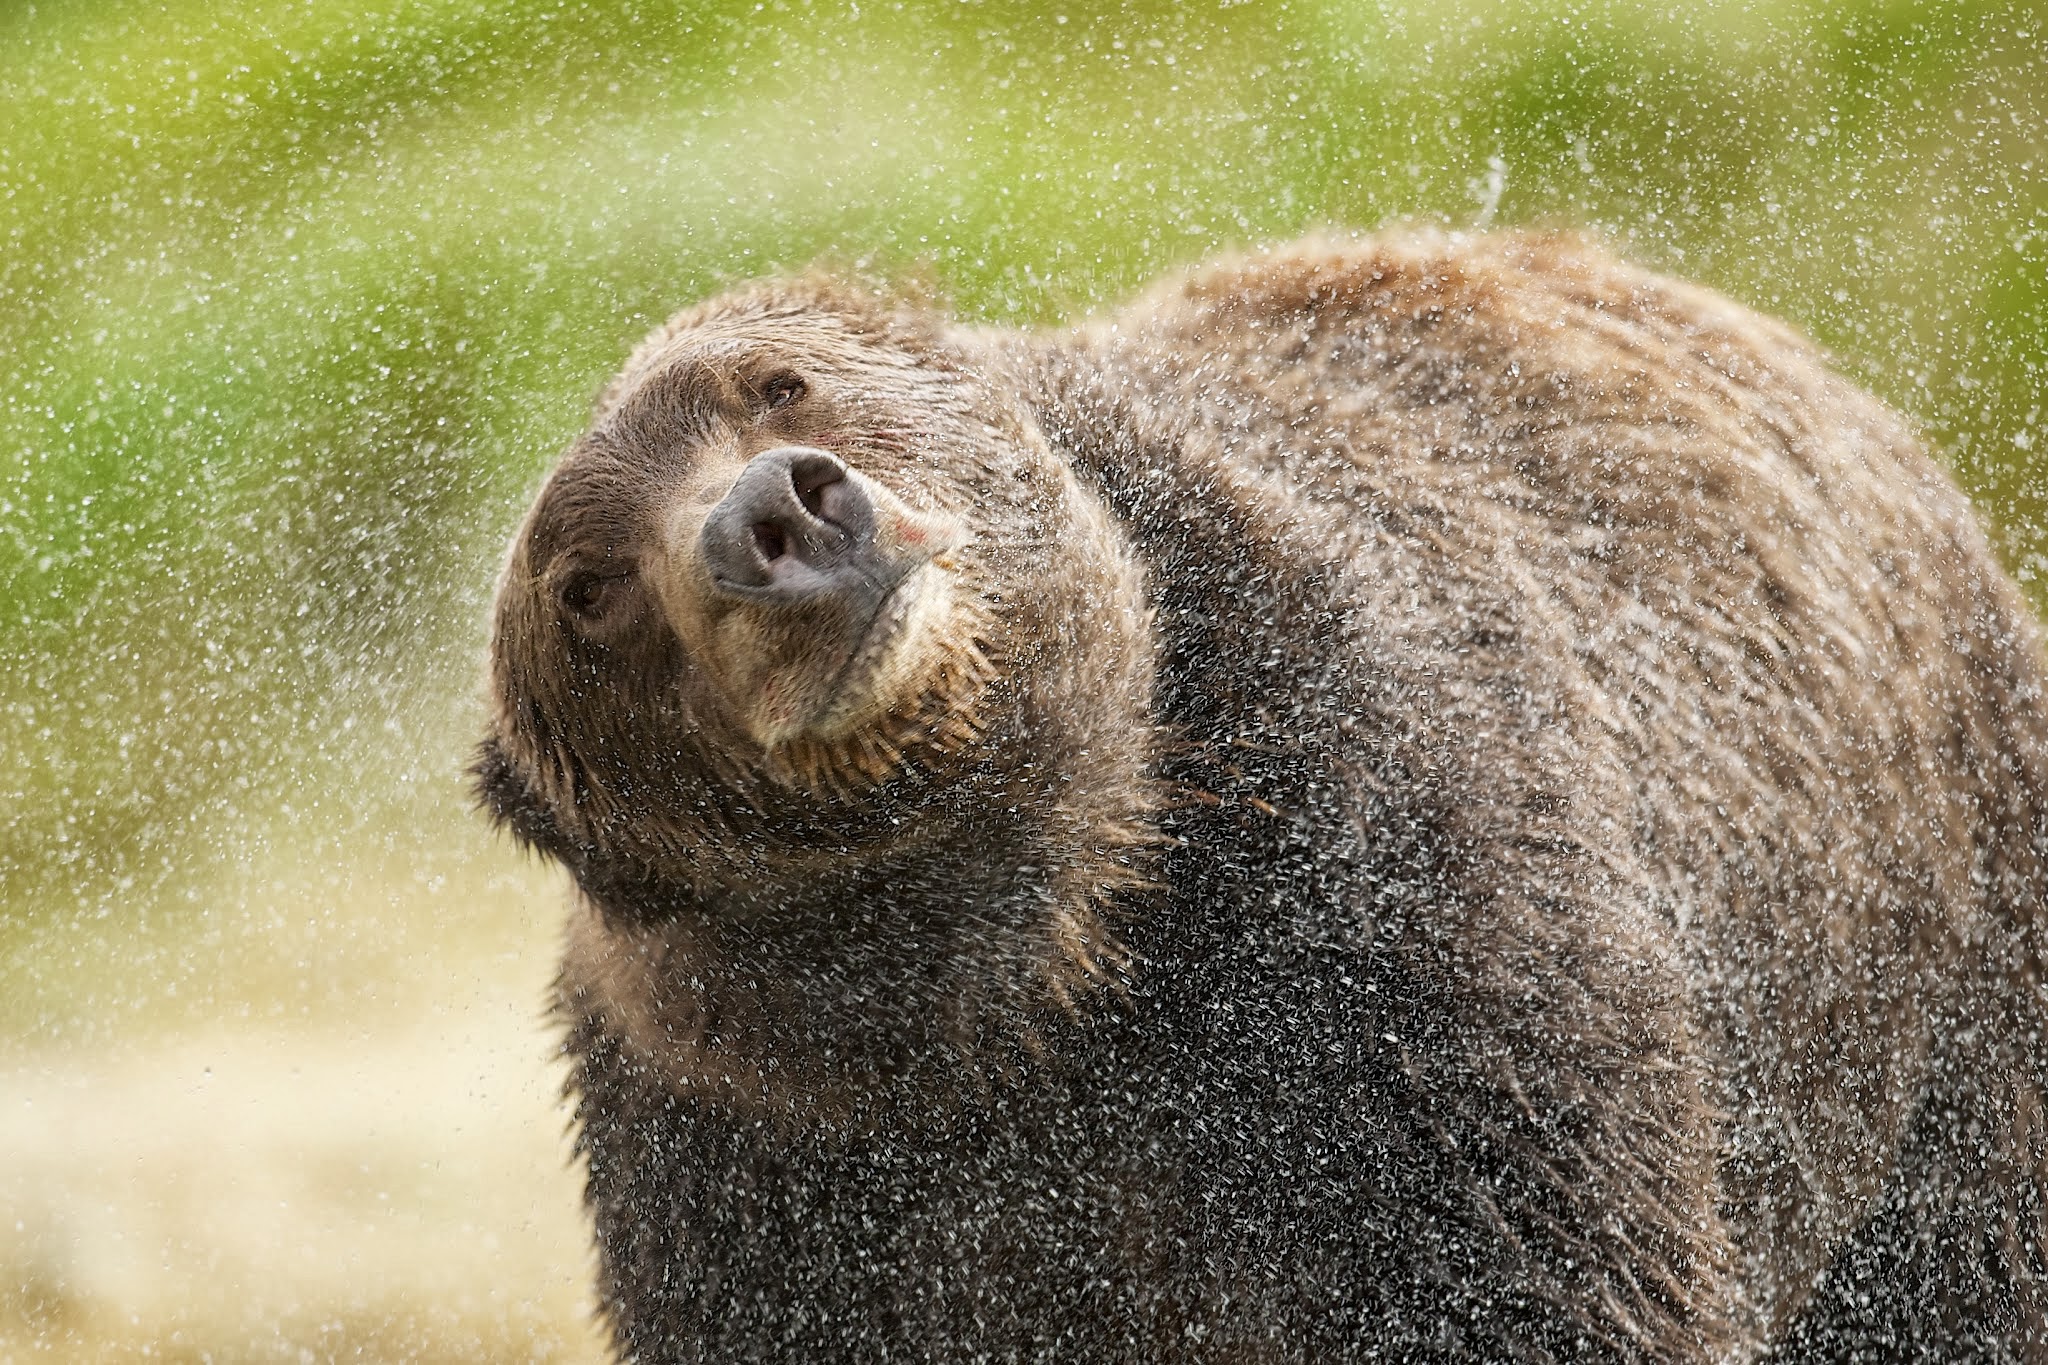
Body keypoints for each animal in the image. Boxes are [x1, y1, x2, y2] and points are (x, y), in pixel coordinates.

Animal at [473, 230, 2048, 1363]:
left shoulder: (1382, 901)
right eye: (589, 588)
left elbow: (1525, 1272)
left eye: (774, 382)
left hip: (1947, 959)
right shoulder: (745, 1170)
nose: (778, 514)